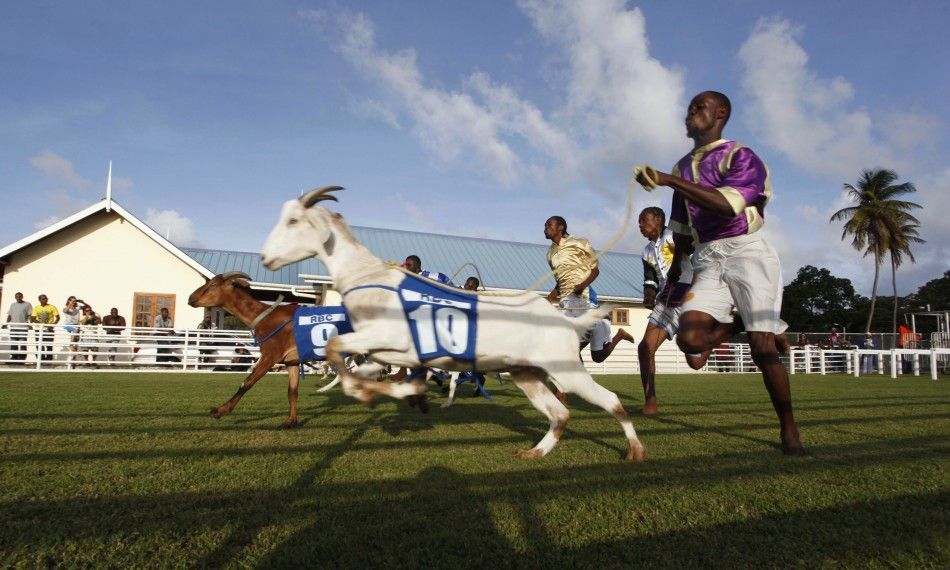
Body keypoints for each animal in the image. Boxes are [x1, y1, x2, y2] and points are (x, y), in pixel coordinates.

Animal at [186, 270, 304, 426]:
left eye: (212, 285)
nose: (190, 298)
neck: (265, 316)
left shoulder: (270, 356)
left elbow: (246, 383)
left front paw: (219, 411)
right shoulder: (292, 361)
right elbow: (292, 392)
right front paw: (290, 421)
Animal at [262, 186, 648, 462]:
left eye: (294, 220)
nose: (266, 257)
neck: (370, 278)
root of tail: (563, 319)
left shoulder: (392, 339)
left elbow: (336, 348)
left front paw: (374, 393)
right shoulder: (385, 350)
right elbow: (363, 364)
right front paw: (389, 393)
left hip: (565, 368)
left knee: (609, 399)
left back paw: (636, 450)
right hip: (526, 373)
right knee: (561, 413)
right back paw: (534, 451)